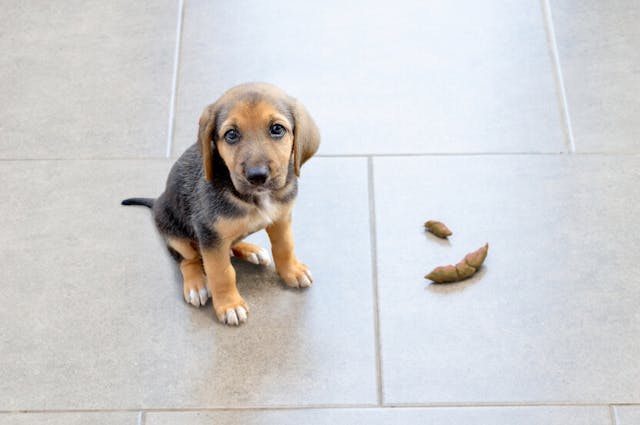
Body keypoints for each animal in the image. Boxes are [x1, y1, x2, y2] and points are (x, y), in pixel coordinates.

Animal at [122, 84, 320, 326]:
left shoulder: (281, 218)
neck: (255, 198)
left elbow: (284, 246)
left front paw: (292, 270)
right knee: (188, 259)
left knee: (230, 244)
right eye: (231, 135)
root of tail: (157, 201)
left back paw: (250, 250)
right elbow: (222, 273)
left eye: (277, 129)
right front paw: (229, 305)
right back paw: (196, 284)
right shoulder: (209, 234)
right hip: (175, 233)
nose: (257, 176)